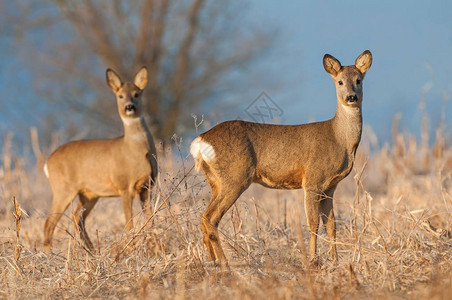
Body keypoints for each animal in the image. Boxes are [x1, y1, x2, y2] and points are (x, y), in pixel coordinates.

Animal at [44, 66, 157, 251]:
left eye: (136, 94)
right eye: (120, 96)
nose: (129, 107)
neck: (135, 151)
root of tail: (47, 163)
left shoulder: (147, 187)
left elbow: (150, 221)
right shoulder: (124, 186)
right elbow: (129, 223)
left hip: (88, 194)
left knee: (77, 218)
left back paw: (91, 251)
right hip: (62, 188)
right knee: (49, 222)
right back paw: (50, 254)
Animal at [190, 50, 370, 268]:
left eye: (359, 80)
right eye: (340, 81)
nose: (351, 97)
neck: (339, 138)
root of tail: (201, 140)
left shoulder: (330, 186)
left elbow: (331, 224)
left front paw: (334, 261)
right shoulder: (312, 179)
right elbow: (313, 224)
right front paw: (313, 261)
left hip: (215, 181)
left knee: (204, 217)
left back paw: (212, 261)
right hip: (235, 176)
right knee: (210, 217)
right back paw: (224, 263)